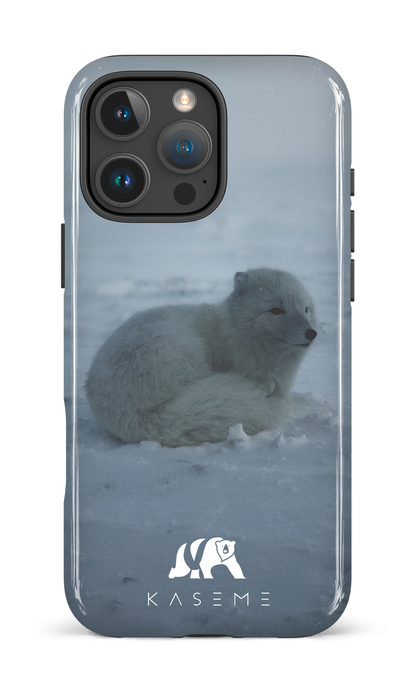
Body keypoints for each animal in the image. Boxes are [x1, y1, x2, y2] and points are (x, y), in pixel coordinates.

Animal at [86, 268, 317, 447]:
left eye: (305, 309)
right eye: (276, 310)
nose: (311, 333)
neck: (235, 334)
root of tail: (132, 416)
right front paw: (264, 385)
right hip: (179, 347)